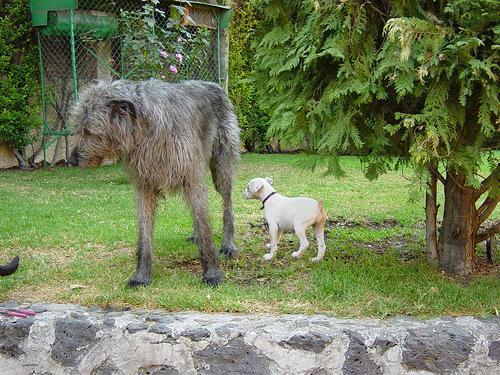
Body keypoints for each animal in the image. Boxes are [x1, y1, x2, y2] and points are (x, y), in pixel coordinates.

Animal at [68, 78, 240, 284]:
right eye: (79, 129)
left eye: (89, 131)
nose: (71, 160)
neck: (145, 131)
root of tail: (214, 84)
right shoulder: (145, 186)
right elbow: (144, 232)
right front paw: (142, 275)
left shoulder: (191, 178)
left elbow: (205, 224)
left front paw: (212, 273)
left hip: (221, 165)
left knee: (227, 203)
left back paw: (227, 244)